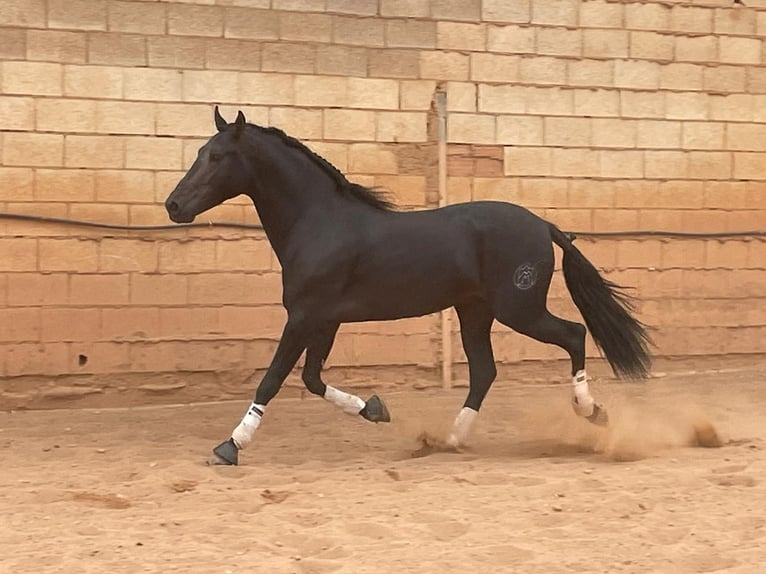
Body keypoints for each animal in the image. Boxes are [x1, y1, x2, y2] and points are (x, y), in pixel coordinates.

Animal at [165, 108, 652, 468]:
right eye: (201, 151)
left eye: (216, 157)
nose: (173, 205)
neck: (318, 222)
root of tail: (542, 224)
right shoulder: (325, 320)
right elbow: (311, 379)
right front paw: (376, 409)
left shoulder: (304, 317)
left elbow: (273, 379)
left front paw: (229, 446)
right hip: (475, 312)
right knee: (485, 371)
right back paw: (449, 440)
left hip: (520, 309)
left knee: (573, 335)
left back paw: (592, 413)